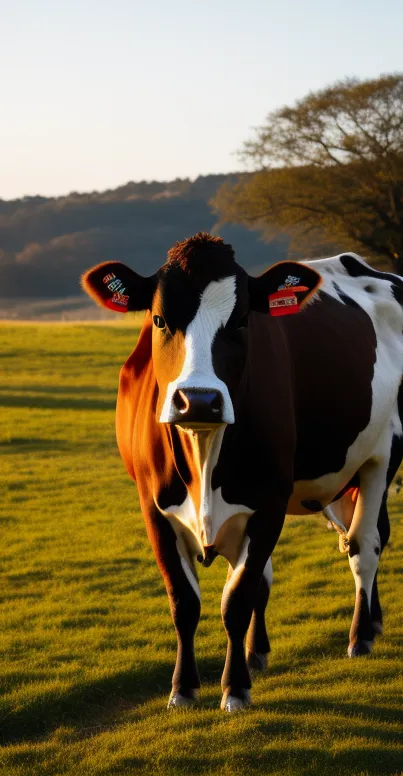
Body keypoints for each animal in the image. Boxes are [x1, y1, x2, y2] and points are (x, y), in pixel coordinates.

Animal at [82, 233, 403, 712]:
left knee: (364, 545)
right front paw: (185, 687)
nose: (198, 400)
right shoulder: (153, 507)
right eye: (159, 320)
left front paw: (234, 688)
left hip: (382, 455)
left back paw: (361, 636)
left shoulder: (268, 502)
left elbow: (237, 597)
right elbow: (186, 601)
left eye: (240, 322)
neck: (205, 455)